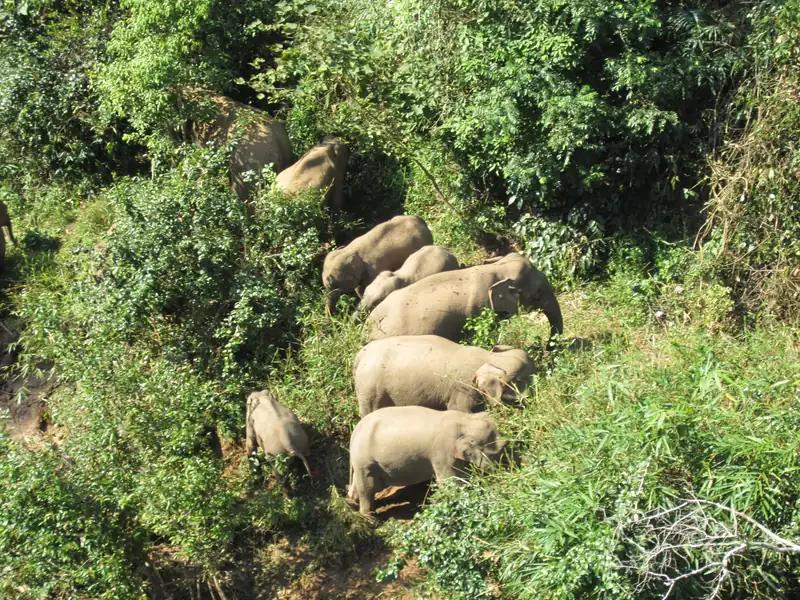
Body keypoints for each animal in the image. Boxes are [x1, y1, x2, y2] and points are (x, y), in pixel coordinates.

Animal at [347, 406, 508, 516]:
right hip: (365, 460)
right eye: (500, 450)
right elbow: (450, 482)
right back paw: (369, 518)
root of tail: (355, 431)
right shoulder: (443, 451)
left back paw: (351, 503)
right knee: (368, 486)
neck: (465, 420)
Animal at [353, 335, 534, 416]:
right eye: (520, 381)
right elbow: (459, 411)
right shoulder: (462, 388)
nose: (530, 399)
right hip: (369, 390)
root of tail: (359, 356)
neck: (487, 357)